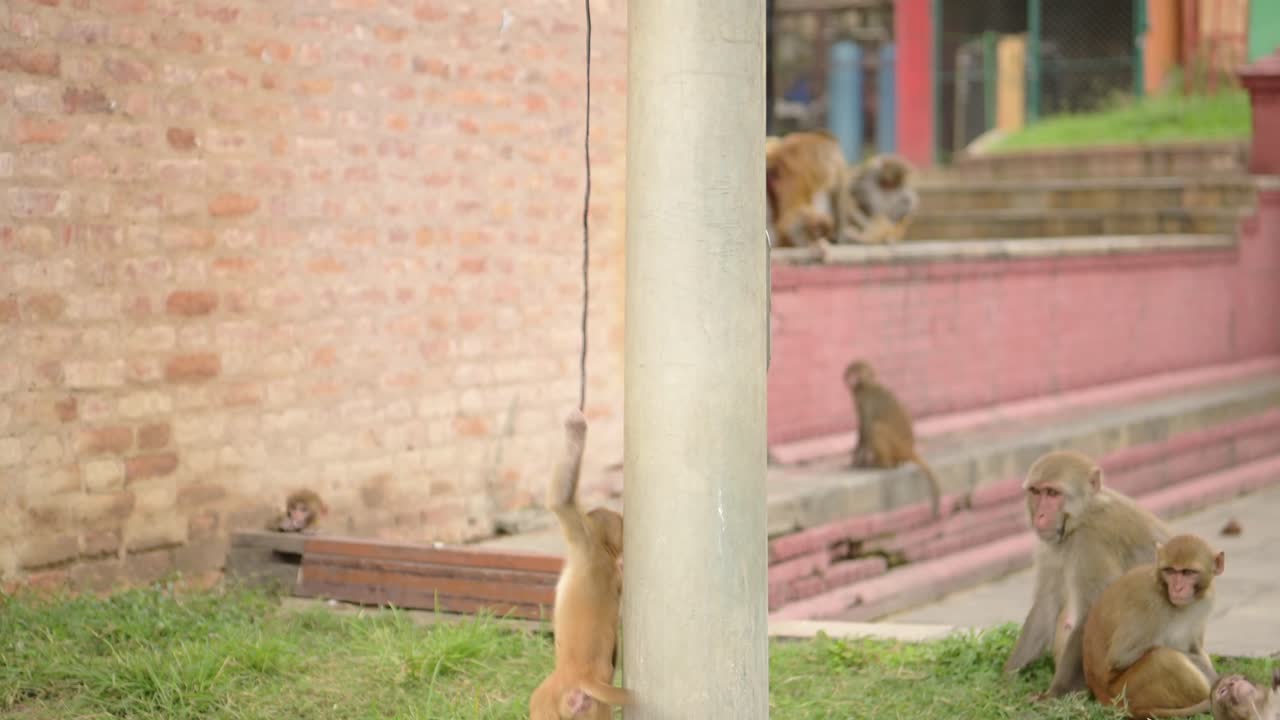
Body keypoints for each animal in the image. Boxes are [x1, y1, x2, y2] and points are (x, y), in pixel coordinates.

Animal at [529, 410, 632, 720]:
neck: (605, 552)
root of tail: (584, 679)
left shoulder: (582, 534)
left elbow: (561, 499)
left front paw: (575, 426)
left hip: (546, 702)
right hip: (597, 711)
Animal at [842, 360, 942, 518]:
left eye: (856, 371)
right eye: (850, 371)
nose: (850, 377)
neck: (867, 384)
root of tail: (909, 449)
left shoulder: (864, 399)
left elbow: (866, 430)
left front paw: (857, 462)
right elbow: (863, 430)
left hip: (897, 446)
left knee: (876, 428)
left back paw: (884, 465)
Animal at [1004, 450, 1173, 699]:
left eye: (1052, 493)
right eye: (1036, 492)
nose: (1040, 516)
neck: (1081, 518)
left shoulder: (1091, 543)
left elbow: (1092, 611)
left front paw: (1054, 694)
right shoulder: (1051, 546)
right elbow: (1046, 606)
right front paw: (1007, 678)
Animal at [1082, 534, 1225, 719]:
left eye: (1188, 572)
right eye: (1169, 570)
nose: (1177, 588)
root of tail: (1101, 693)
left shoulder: (1206, 600)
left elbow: (1195, 647)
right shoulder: (1148, 603)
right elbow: (1120, 656)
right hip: (1125, 691)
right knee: (1164, 658)